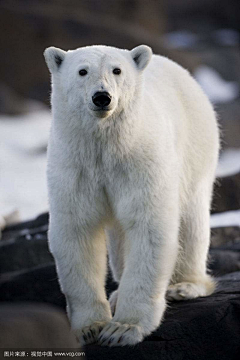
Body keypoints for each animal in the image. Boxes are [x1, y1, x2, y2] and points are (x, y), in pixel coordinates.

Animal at [44, 44, 220, 346]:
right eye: (82, 71)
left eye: (117, 70)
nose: (102, 97)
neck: (105, 147)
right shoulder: (74, 167)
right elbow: (77, 231)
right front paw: (89, 328)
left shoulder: (142, 161)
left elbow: (148, 227)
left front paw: (123, 329)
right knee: (119, 238)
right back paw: (116, 294)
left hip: (196, 147)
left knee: (191, 221)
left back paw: (185, 285)